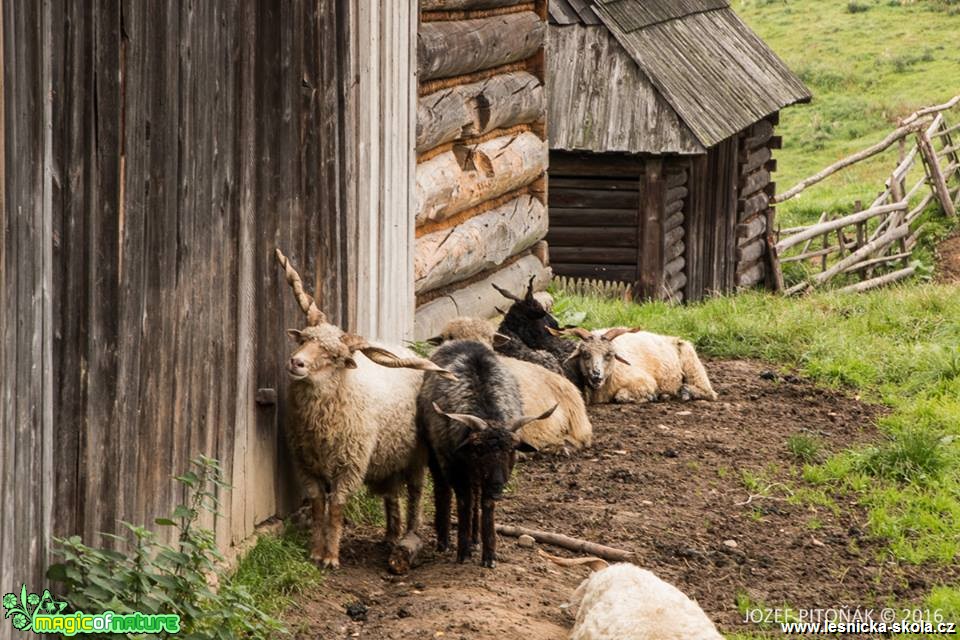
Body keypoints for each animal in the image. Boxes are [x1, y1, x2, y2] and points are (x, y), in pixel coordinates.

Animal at [418, 342, 556, 568]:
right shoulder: (455, 469)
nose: (497, 485)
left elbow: (486, 506)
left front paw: (488, 555)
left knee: (475, 495)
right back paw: (444, 540)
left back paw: (475, 540)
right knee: (443, 491)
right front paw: (462, 552)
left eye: (511, 449)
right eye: (479, 448)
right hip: (435, 457)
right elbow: (463, 503)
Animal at [560, 328, 716, 402]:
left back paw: (686, 392)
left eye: (609, 354)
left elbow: (620, 396)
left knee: (709, 393)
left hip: (692, 364)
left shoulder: (645, 382)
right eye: (585, 354)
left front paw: (650, 397)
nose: (596, 376)